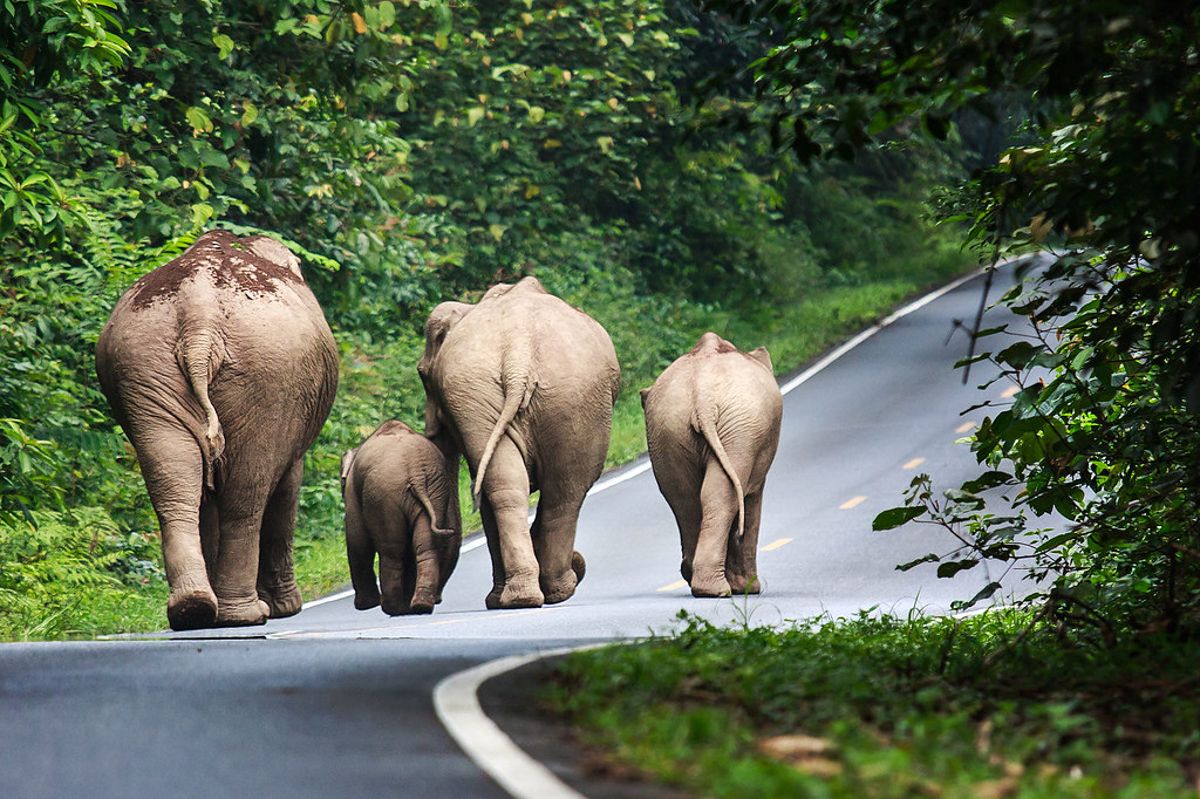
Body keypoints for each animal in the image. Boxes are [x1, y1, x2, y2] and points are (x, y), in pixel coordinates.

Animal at [95, 230, 339, 630]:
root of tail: (200, 315)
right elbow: (287, 485)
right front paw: (286, 608)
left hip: (141, 366)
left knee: (174, 480)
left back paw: (193, 610)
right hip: (268, 378)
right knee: (247, 495)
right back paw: (245, 615)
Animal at [340, 420, 462, 615]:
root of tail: (416, 470)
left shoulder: (353, 491)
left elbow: (357, 541)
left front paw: (365, 605)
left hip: (385, 495)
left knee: (392, 550)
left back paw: (394, 608)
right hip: (436, 490)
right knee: (425, 545)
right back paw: (419, 606)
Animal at [418, 276, 620, 609]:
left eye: (422, 375)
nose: (434, 600)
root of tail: (517, 356)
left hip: (563, 394)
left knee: (543, 488)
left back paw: (529, 594)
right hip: (536, 394)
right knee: (553, 489)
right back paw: (543, 592)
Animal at [641, 332, 783, 598]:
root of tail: (702, 397)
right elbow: (752, 500)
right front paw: (750, 589)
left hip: (668, 428)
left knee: (685, 499)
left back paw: (698, 581)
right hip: (739, 430)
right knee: (722, 496)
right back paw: (718, 589)